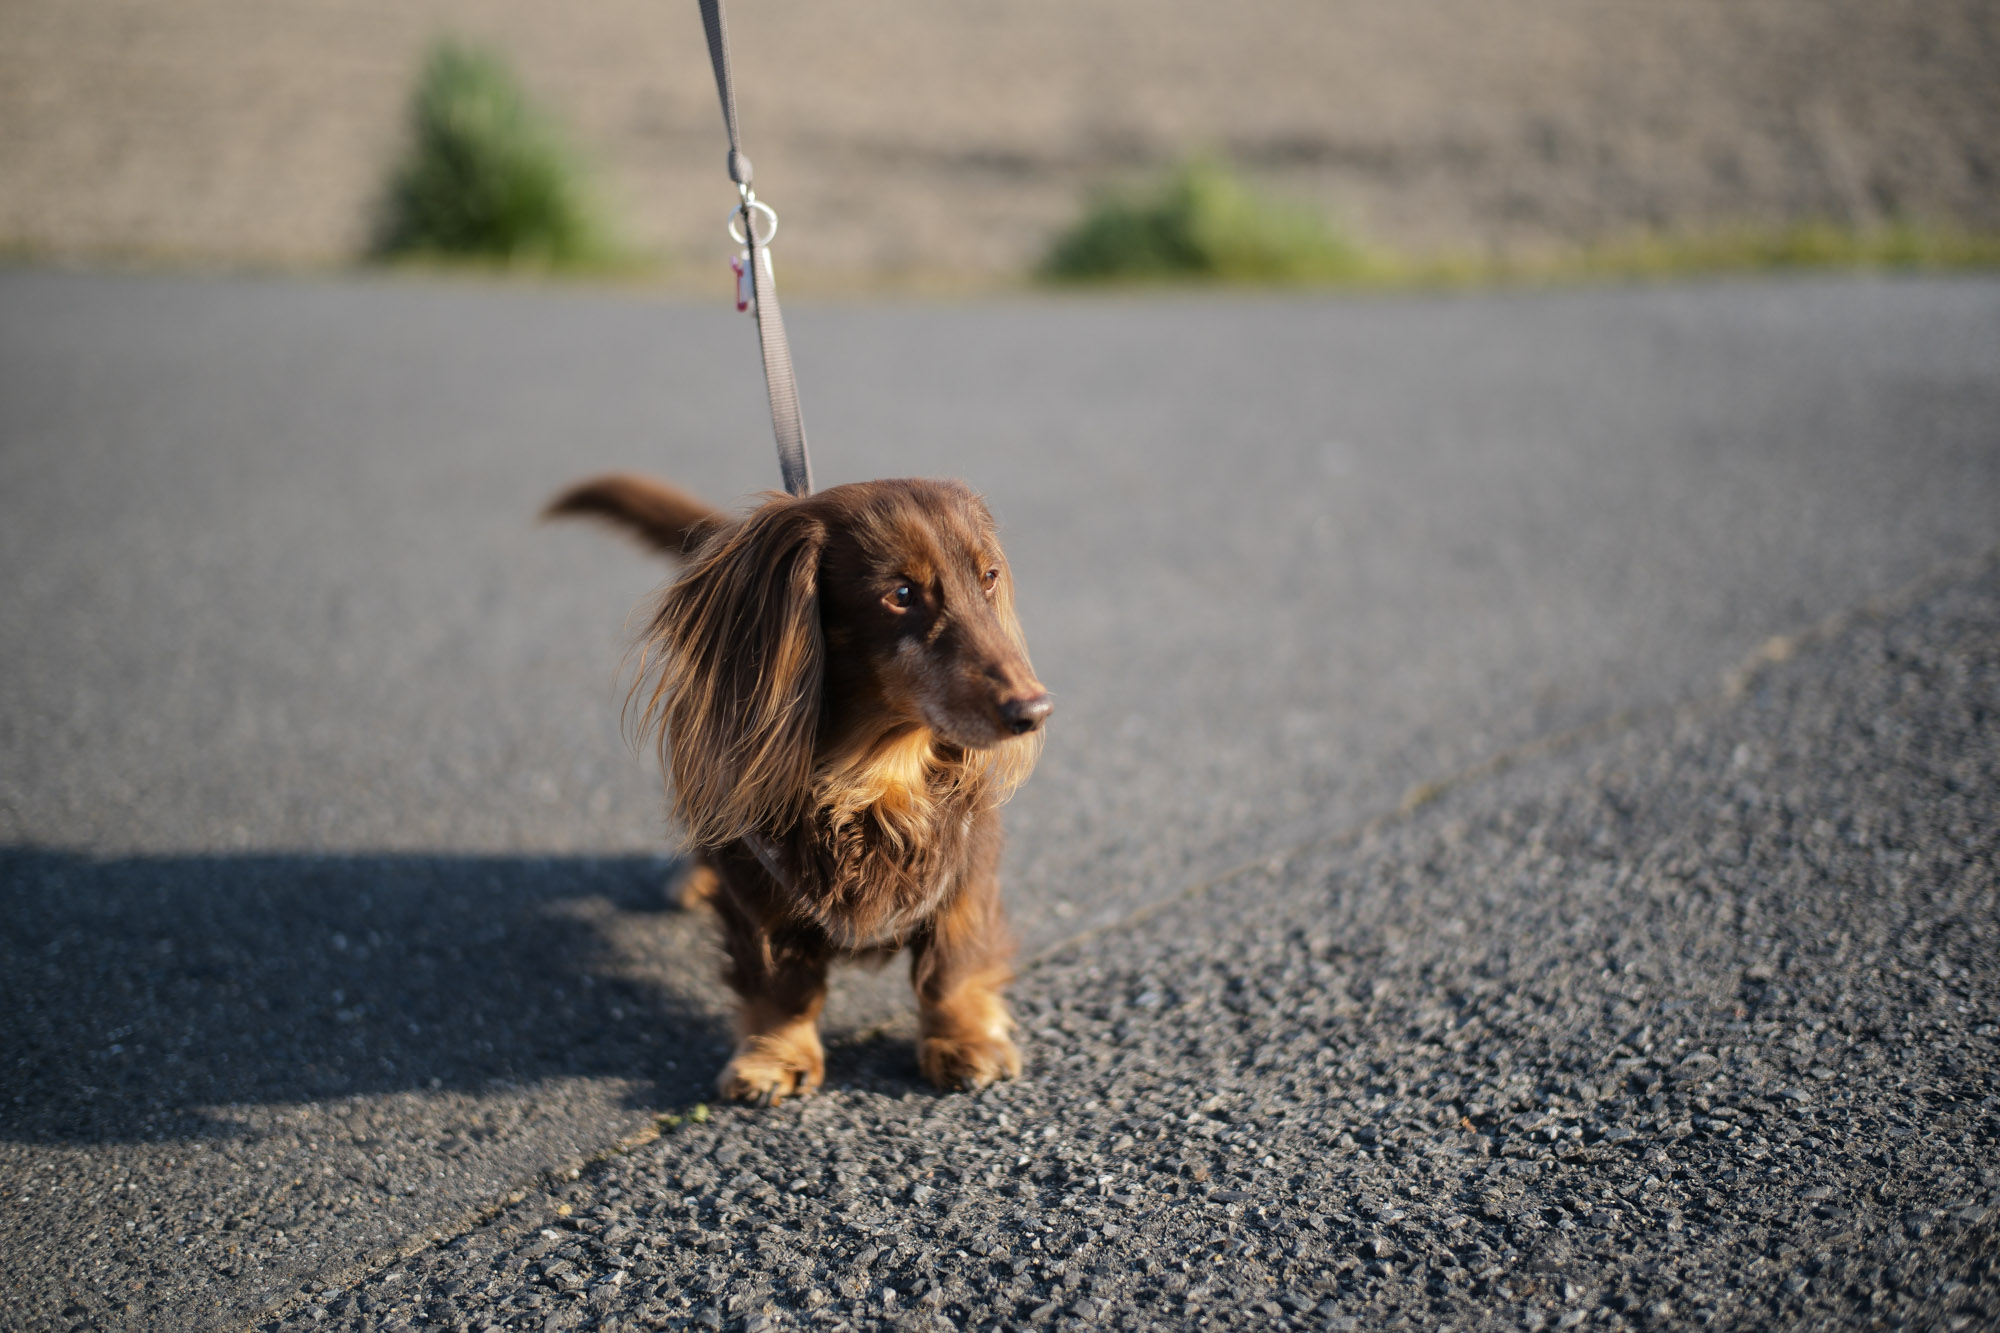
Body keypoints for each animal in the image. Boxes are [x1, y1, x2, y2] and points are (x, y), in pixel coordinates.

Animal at [540, 472, 1056, 1096]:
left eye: (988, 577)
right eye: (901, 593)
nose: (1033, 710)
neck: (877, 777)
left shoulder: (967, 868)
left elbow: (951, 967)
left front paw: (964, 1041)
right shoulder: (758, 889)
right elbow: (783, 987)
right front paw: (775, 1057)